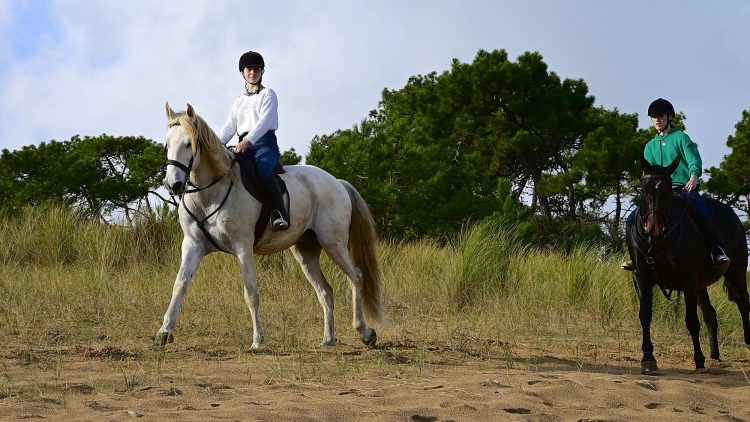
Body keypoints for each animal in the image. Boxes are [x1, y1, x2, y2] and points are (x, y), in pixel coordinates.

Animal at [156, 102, 383, 349]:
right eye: (167, 143)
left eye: (189, 144)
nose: (174, 184)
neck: (210, 193)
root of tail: (337, 183)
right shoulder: (193, 245)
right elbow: (180, 284)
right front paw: (164, 332)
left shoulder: (243, 248)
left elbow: (251, 293)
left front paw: (257, 340)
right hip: (306, 252)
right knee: (325, 291)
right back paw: (328, 339)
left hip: (334, 244)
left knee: (356, 277)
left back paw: (365, 332)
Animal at [626, 155, 750, 374]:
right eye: (644, 189)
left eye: (667, 191)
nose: (655, 229)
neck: (659, 243)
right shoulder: (641, 277)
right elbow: (644, 316)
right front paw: (648, 359)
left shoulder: (688, 279)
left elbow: (691, 321)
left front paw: (698, 359)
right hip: (702, 285)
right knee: (710, 314)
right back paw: (715, 355)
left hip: (736, 274)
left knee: (744, 304)